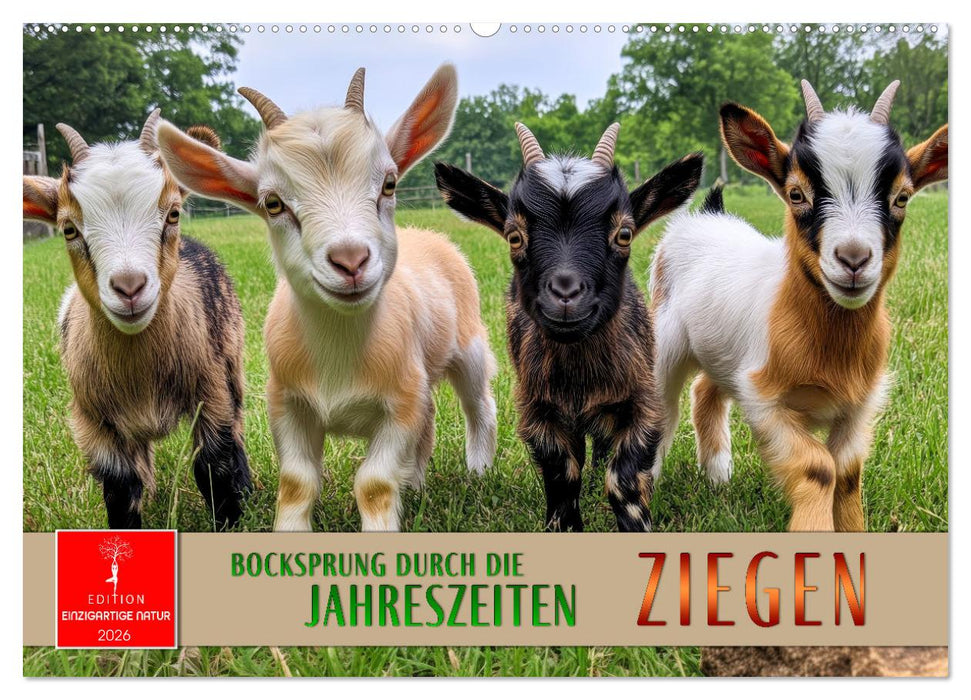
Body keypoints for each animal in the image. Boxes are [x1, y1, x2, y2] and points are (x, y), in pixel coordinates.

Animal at [22, 112, 252, 529]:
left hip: (232, 359)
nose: (129, 287)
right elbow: (120, 488)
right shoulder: (92, 420)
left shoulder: (211, 391)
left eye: (173, 213)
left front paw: (232, 517)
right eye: (68, 228)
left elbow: (214, 466)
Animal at [157, 65, 498, 532]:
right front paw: (290, 531)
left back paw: (478, 470)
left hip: (469, 346)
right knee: (429, 420)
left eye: (389, 184)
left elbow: (373, 484)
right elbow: (297, 483)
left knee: (479, 403)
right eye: (273, 203)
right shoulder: (286, 403)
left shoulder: (399, 405)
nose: (350, 260)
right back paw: (416, 484)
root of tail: (427, 236)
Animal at [435, 123, 703, 531]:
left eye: (624, 234)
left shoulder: (642, 401)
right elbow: (562, 474)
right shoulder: (537, 409)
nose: (565, 294)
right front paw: (565, 524)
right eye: (514, 236)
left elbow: (624, 479)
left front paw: (636, 524)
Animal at [650, 80, 948, 531]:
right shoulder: (764, 400)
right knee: (661, 409)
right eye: (796, 194)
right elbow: (818, 468)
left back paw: (718, 476)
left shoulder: (859, 407)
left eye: (902, 198)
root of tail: (708, 214)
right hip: (665, 341)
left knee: (705, 390)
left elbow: (846, 472)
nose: (854, 259)